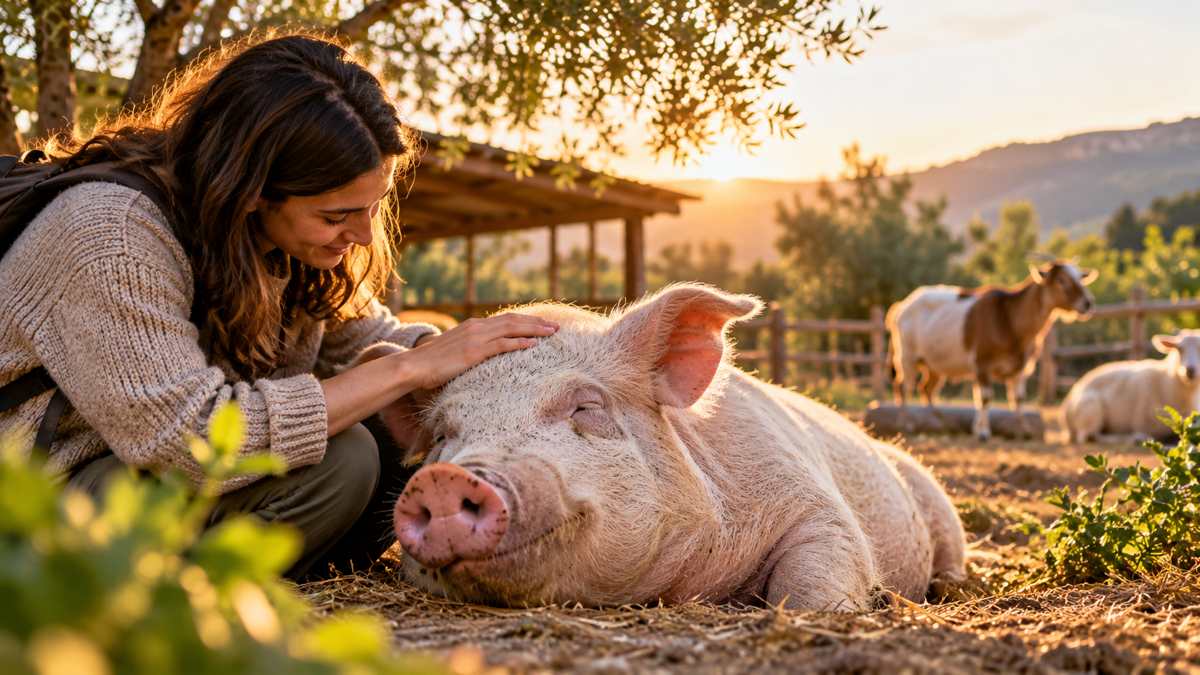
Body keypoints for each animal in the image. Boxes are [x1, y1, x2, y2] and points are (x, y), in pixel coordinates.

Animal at [384, 284, 966, 611]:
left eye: (587, 407)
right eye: (442, 435)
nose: (446, 478)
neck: (685, 586)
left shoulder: (819, 506)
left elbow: (811, 583)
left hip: (938, 505)